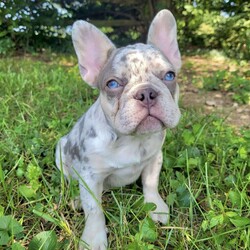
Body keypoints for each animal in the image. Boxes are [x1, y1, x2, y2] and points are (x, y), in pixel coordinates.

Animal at [56, 8, 182, 249]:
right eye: (112, 84)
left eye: (170, 75)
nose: (146, 93)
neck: (131, 139)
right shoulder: (90, 175)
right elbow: (94, 209)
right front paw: (94, 239)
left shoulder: (155, 158)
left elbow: (151, 183)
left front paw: (156, 207)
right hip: (61, 152)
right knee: (69, 182)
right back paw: (75, 200)